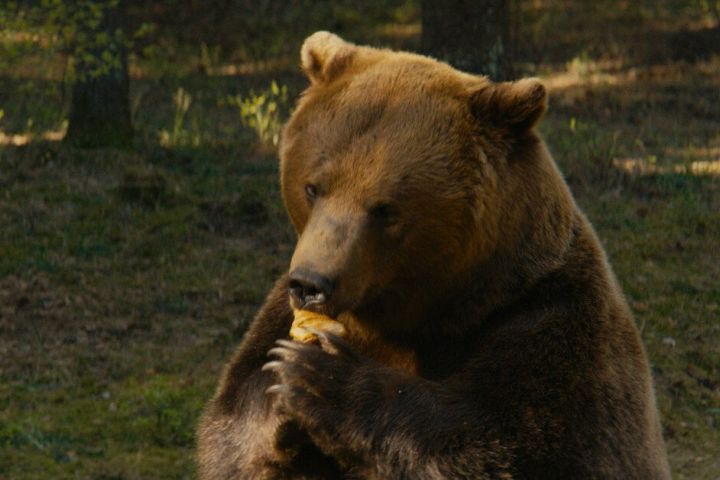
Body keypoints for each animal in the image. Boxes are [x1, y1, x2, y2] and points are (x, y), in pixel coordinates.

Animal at [197, 31, 671, 479]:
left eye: (384, 209)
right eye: (313, 187)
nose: (312, 284)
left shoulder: (555, 322)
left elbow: (501, 438)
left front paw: (315, 375)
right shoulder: (282, 311)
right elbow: (232, 428)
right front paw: (278, 381)